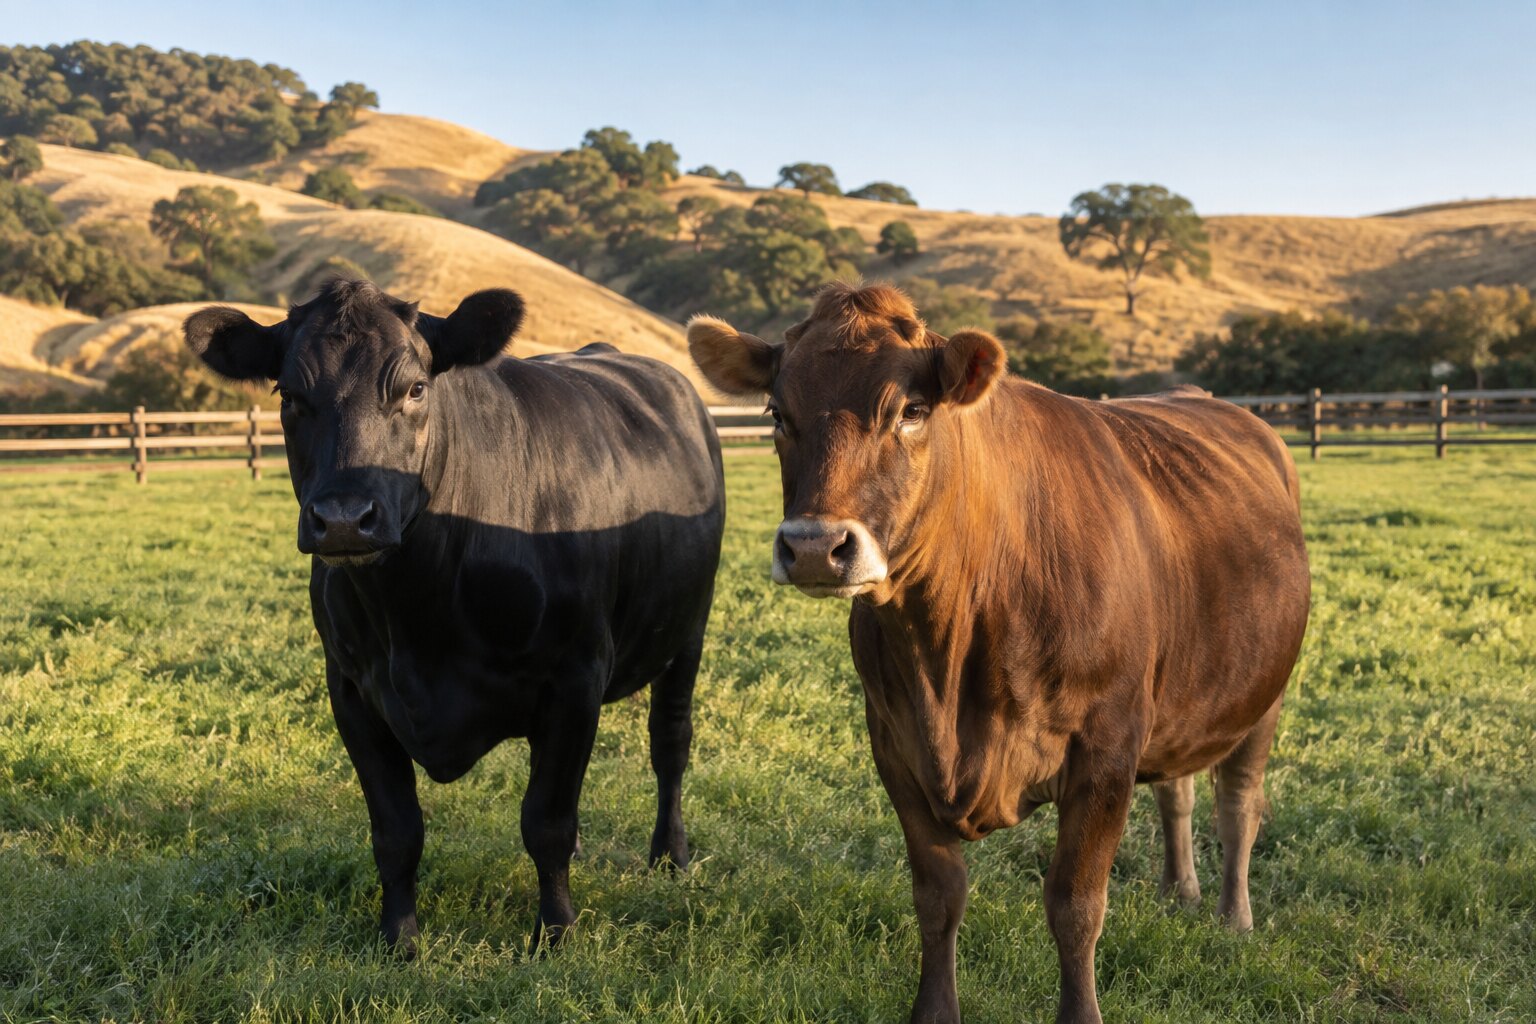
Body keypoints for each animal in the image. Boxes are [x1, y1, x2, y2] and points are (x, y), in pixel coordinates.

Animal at [182, 277, 725, 953]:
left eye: (416, 388)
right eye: (289, 394)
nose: (343, 518)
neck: (419, 617)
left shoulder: (576, 678)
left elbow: (547, 822)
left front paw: (555, 933)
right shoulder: (352, 688)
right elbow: (396, 831)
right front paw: (399, 939)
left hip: (688, 631)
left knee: (670, 744)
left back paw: (670, 856)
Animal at [687, 282, 1309, 1024]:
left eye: (912, 410)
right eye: (777, 413)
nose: (814, 546)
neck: (950, 661)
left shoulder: (1106, 744)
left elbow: (1075, 905)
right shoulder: (894, 741)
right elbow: (937, 896)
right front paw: (933, 1013)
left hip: (1262, 692)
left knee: (1239, 801)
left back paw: (1232, 916)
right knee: (1177, 789)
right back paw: (1176, 891)